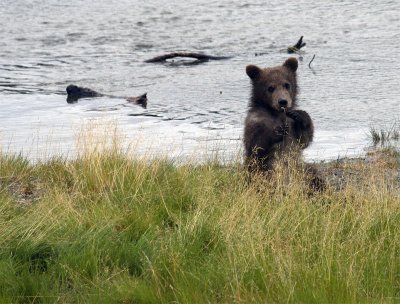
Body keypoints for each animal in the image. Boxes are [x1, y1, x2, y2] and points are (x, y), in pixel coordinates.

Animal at [244, 57, 322, 190]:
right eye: (270, 87)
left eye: (286, 85)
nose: (283, 101)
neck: (276, 114)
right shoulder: (255, 121)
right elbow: (255, 147)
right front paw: (277, 132)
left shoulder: (292, 126)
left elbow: (304, 140)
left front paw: (300, 115)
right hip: (263, 173)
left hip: (299, 170)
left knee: (312, 173)